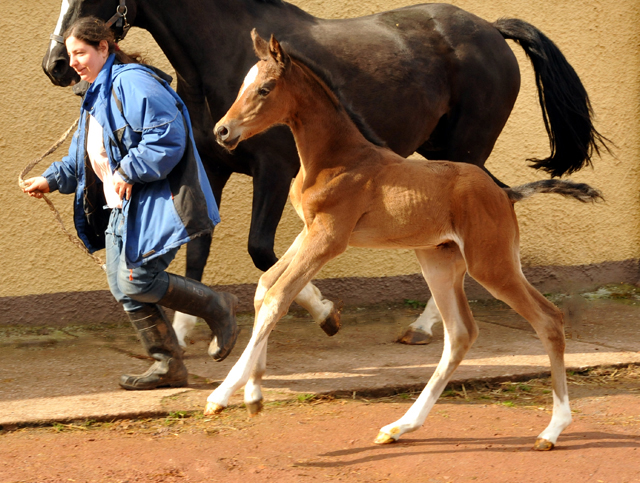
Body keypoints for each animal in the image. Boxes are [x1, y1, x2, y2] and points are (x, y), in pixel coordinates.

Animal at [208, 33, 604, 450]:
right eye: (243, 85)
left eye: (265, 88)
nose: (222, 131)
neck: (336, 157)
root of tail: (505, 193)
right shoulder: (308, 232)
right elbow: (266, 287)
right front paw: (250, 391)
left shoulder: (329, 237)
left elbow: (277, 296)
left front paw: (228, 396)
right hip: (439, 262)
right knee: (460, 334)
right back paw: (400, 426)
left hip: (491, 264)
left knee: (549, 319)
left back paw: (553, 429)